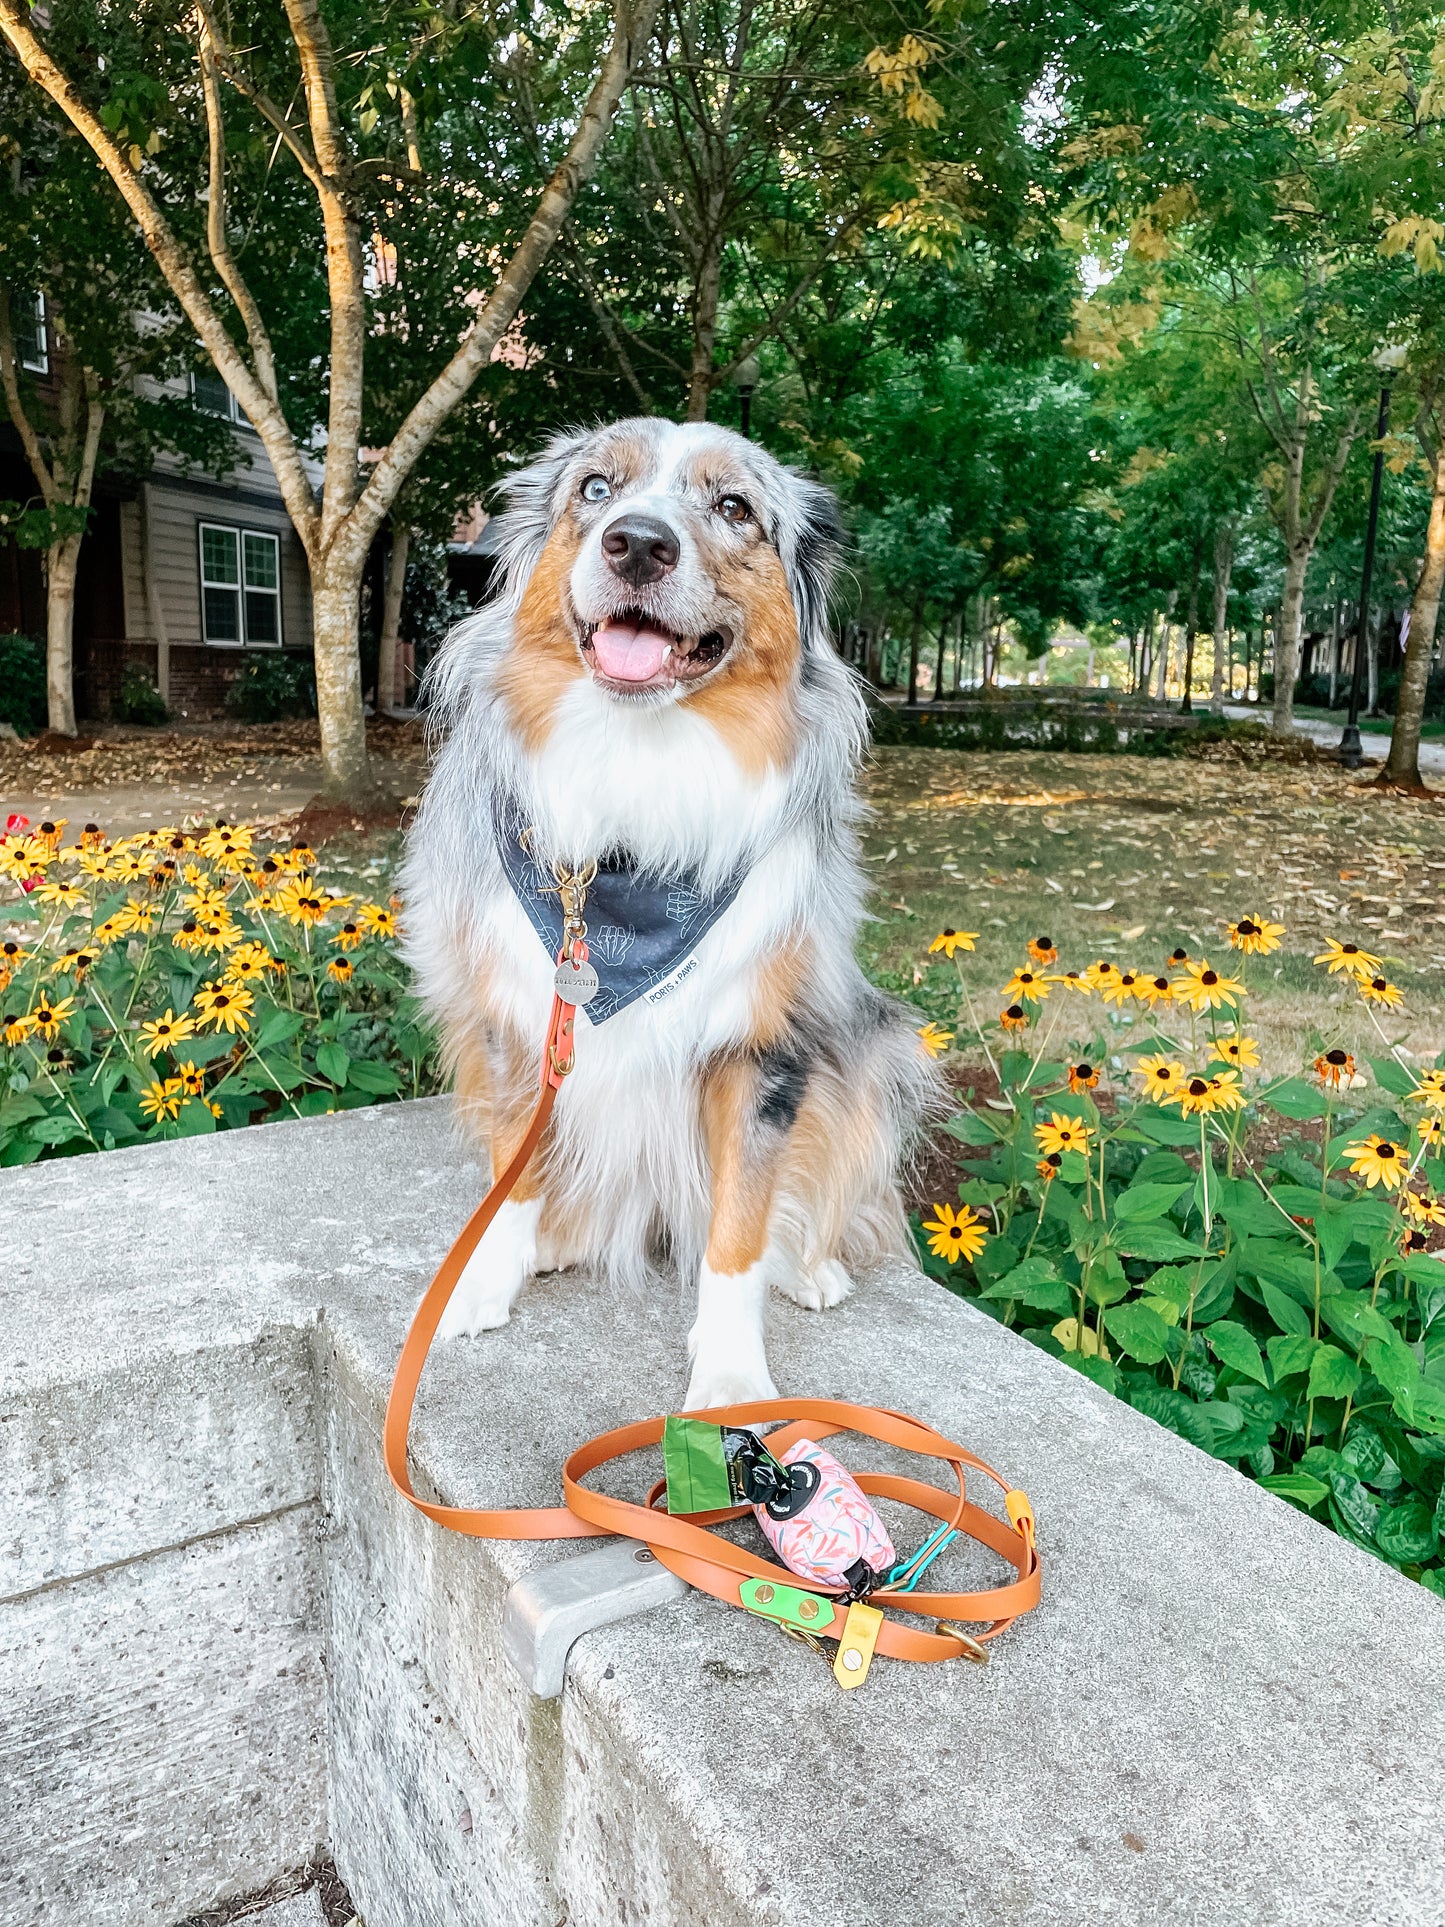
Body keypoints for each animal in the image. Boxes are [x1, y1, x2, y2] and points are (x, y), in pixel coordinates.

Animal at [402, 422, 940, 1410]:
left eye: (734, 507)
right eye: (594, 488)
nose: (638, 543)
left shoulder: (762, 1049)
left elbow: (737, 1227)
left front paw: (729, 1375)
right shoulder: (514, 1020)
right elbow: (513, 1170)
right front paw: (491, 1275)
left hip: (870, 1048)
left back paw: (804, 1264)